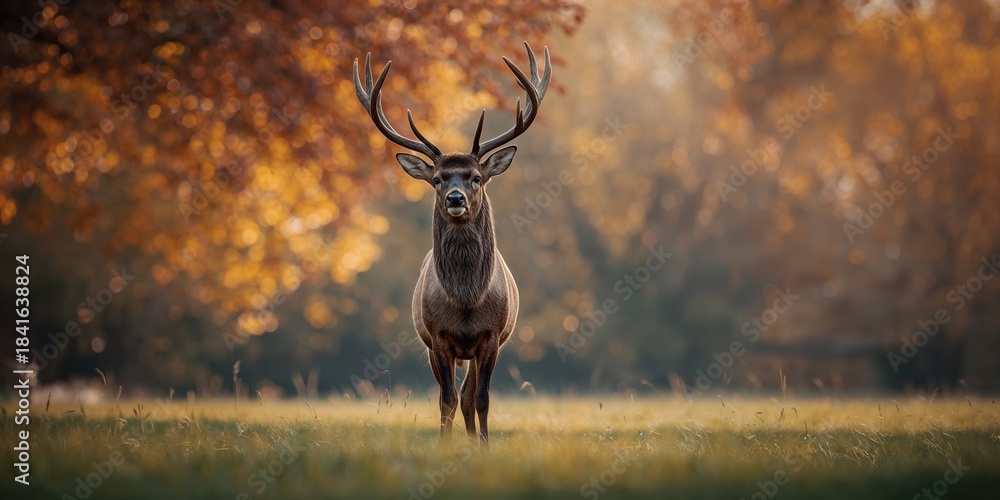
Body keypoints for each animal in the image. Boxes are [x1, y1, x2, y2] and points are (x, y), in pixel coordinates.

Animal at [353, 42, 551, 449]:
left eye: (476, 177)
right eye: (438, 179)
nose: (455, 198)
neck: (465, 300)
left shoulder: (492, 336)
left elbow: (481, 398)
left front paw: (485, 447)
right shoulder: (438, 337)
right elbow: (446, 399)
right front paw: (444, 447)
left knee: (469, 395)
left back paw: (475, 442)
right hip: (432, 344)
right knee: (456, 395)